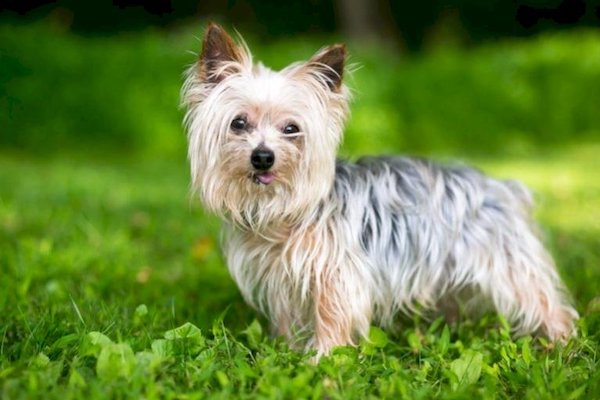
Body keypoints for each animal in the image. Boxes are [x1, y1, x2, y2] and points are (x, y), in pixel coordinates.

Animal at [182, 23, 576, 358]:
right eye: (238, 123)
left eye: (291, 128)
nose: (263, 157)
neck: (283, 211)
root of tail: (498, 185)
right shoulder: (281, 275)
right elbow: (287, 316)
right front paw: (288, 351)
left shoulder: (336, 275)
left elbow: (331, 315)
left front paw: (323, 358)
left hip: (507, 261)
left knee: (544, 300)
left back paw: (562, 341)